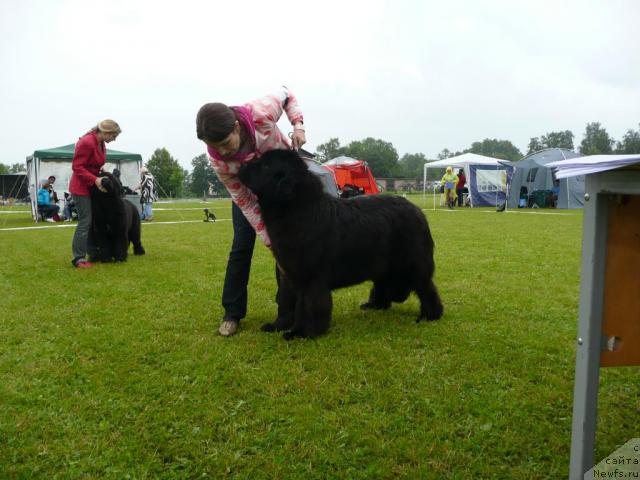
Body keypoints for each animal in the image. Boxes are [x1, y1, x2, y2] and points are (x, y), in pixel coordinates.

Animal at [238, 148, 442, 340]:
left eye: (266, 166)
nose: (241, 165)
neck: (297, 210)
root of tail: (417, 210)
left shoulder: (311, 278)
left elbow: (308, 306)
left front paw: (302, 333)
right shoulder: (290, 273)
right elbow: (289, 301)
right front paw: (283, 327)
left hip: (411, 263)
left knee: (426, 288)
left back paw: (430, 315)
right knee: (383, 283)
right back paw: (375, 305)